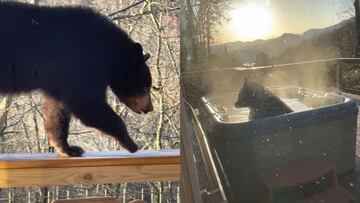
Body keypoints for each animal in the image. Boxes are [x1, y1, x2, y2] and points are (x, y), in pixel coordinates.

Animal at [0, 1, 153, 156]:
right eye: (145, 88)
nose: (149, 108)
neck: (107, 51)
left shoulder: (61, 80)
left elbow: (57, 110)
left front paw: (68, 148)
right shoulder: (80, 65)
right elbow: (88, 103)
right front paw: (131, 143)